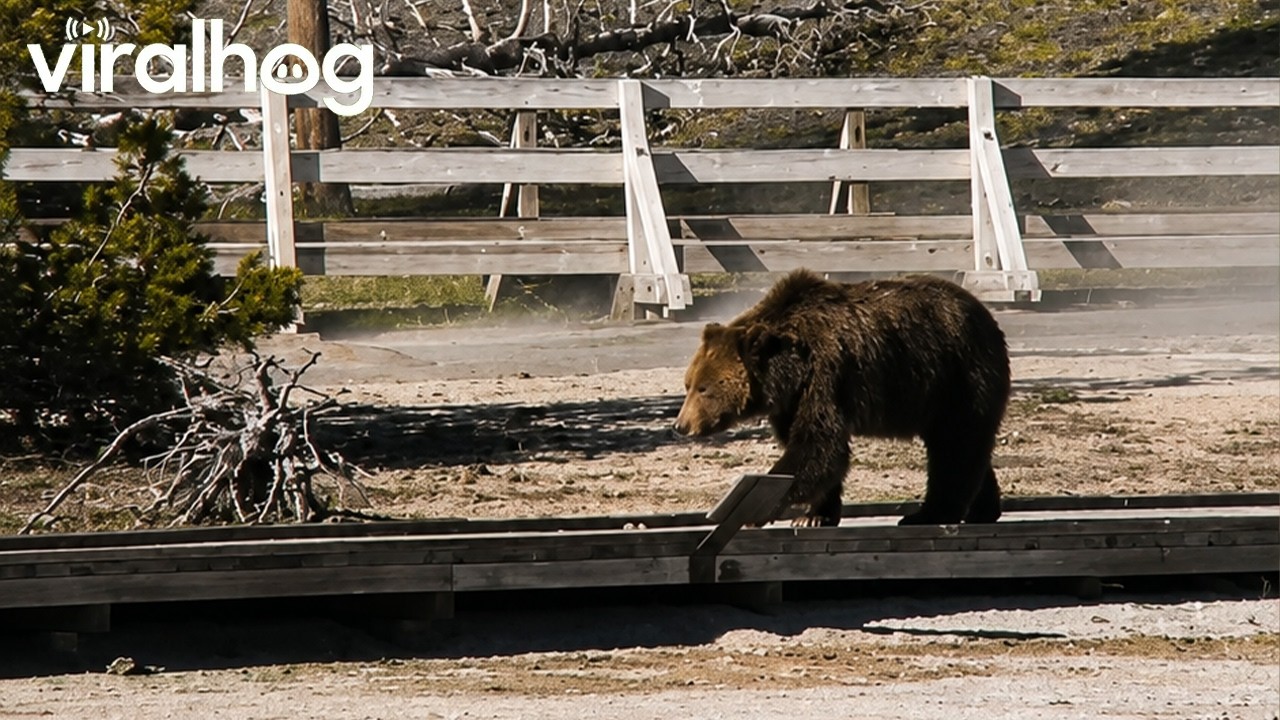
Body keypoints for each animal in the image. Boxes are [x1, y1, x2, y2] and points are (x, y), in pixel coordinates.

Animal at [673, 269, 1010, 527]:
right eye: (688, 384)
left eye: (704, 388)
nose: (681, 425)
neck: (788, 372)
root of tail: (985, 315)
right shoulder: (792, 401)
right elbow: (814, 448)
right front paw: (814, 515)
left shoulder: (826, 375)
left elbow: (818, 446)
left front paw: (760, 510)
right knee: (963, 445)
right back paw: (983, 509)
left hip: (957, 376)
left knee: (955, 446)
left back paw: (928, 514)